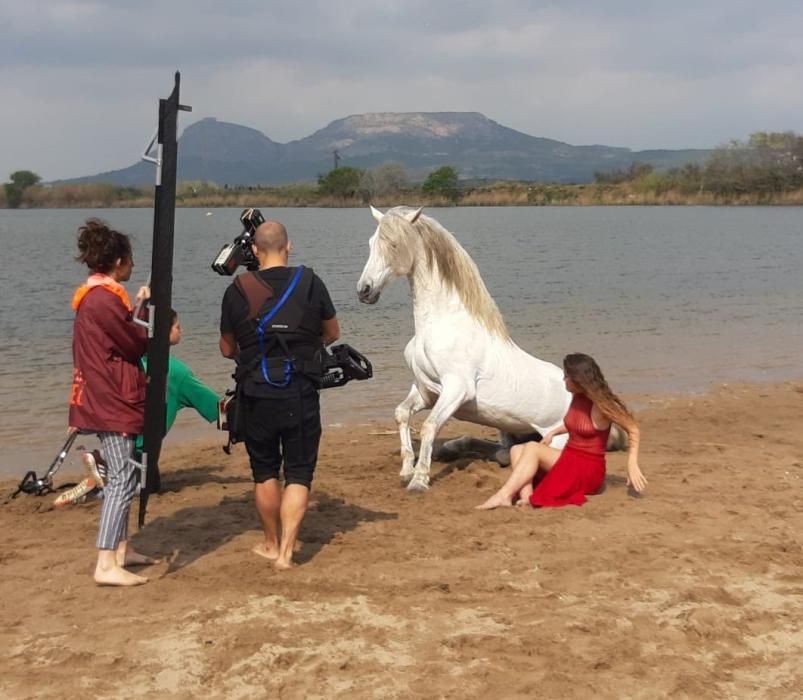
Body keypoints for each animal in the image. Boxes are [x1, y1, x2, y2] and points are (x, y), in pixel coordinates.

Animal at [358, 205, 592, 492]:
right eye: (371, 243)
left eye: (393, 244)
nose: (364, 290)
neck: (438, 326)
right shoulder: (426, 390)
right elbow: (402, 414)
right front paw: (406, 471)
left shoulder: (457, 389)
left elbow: (429, 426)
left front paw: (419, 481)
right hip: (512, 431)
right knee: (503, 451)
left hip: (555, 440)